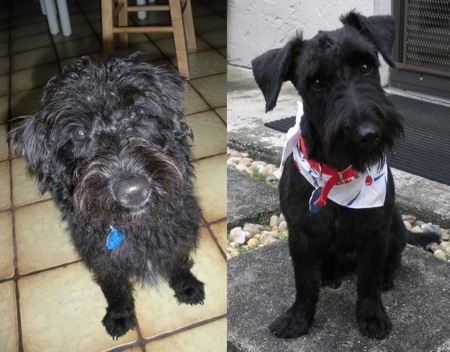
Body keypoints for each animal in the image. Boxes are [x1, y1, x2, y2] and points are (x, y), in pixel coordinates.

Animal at [9, 55, 205, 338]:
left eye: (136, 114)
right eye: (78, 133)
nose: (133, 192)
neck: (134, 224)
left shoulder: (179, 231)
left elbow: (177, 262)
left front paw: (187, 287)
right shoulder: (101, 257)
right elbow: (115, 289)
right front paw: (120, 315)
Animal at [251, 11, 438, 340]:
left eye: (365, 66)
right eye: (315, 82)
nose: (369, 134)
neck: (336, 175)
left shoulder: (375, 233)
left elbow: (369, 281)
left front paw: (372, 316)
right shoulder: (300, 235)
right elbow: (304, 283)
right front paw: (298, 318)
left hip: (395, 228)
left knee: (393, 259)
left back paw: (387, 277)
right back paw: (328, 273)